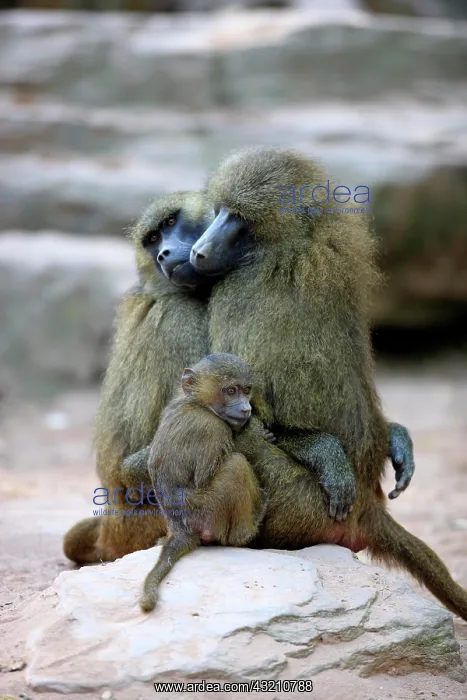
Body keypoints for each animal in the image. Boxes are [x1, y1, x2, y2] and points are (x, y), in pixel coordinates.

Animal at [140, 353, 268, 612]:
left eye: (246, 390)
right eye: (231, 390)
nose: (246, 408)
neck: (198, 403)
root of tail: (179, 527)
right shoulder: (211, 428)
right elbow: (205, 475)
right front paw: (255, 439)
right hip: (206, 512)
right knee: (236, 465)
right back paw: (247, 530)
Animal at [187, 146, 467, 621]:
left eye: (238, 218)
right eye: (219, 210)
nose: (199, 252)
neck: (300, 241)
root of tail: (366, 505)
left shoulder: (238, 290)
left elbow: (245, 406)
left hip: (297, 505)